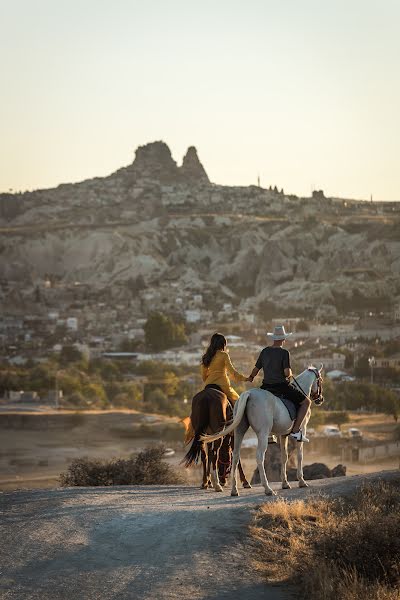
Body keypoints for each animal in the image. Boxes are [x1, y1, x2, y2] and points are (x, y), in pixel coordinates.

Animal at [202, 366, 324, 496]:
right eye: (320, 380)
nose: (320, 399)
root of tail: (249, 393)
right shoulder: (302, 430)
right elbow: (300, 455)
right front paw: (301, 481)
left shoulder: (283, 435)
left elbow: (284, 456)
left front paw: (285, 483)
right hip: (263, 434)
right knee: (260, 457)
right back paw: (267, 488)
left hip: (239, 431)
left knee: (235, 456)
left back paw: (234, 489)